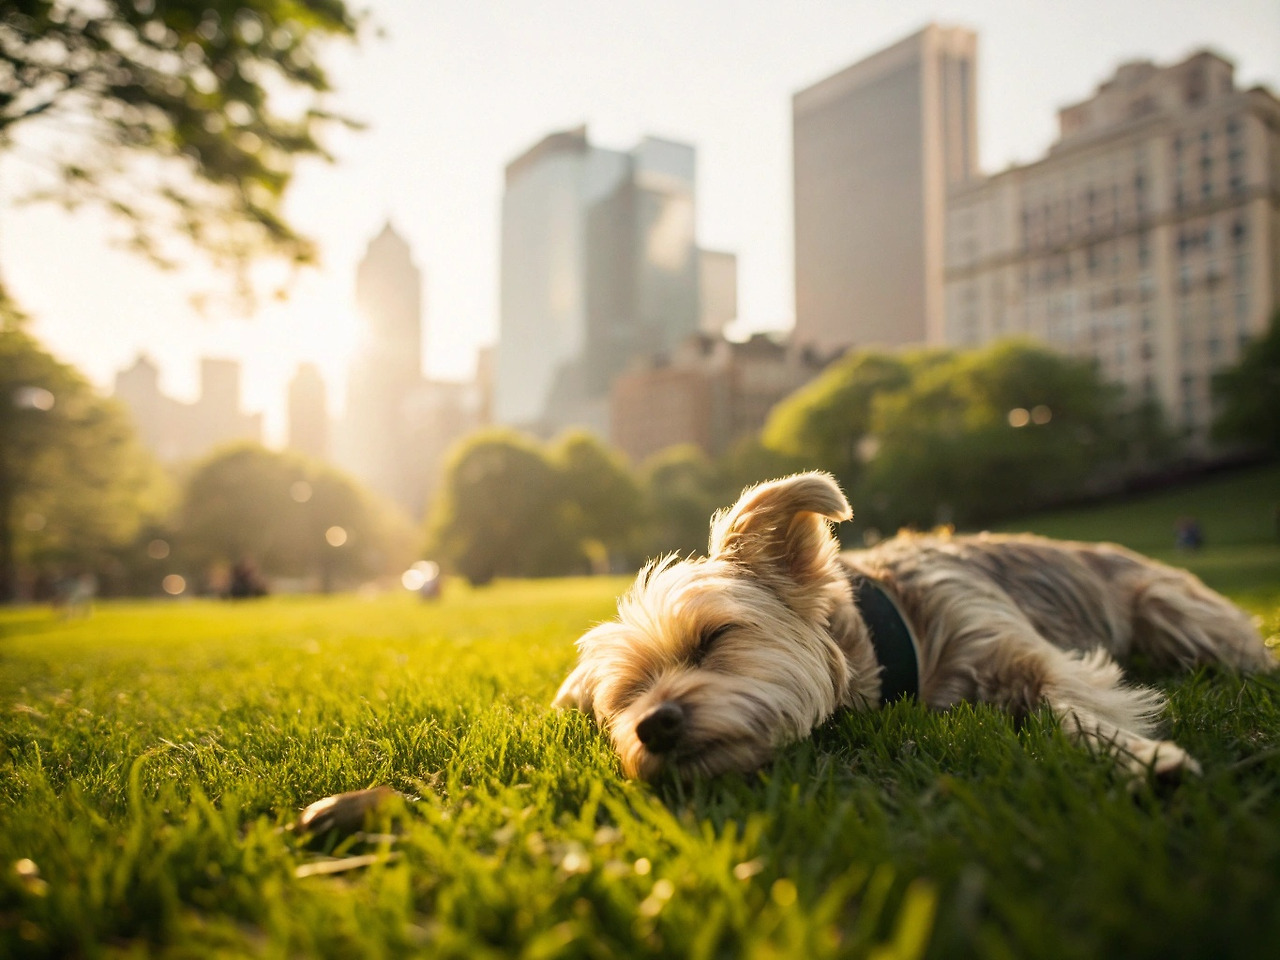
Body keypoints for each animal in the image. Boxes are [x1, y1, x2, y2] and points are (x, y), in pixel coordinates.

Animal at [555, 471, 1274, 783]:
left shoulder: (1019, 651)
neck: (898, 636)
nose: (653, 725)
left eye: (712, 639)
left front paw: (1142, 758)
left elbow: (1070, 710)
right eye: (626, 697)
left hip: (1175, 611)